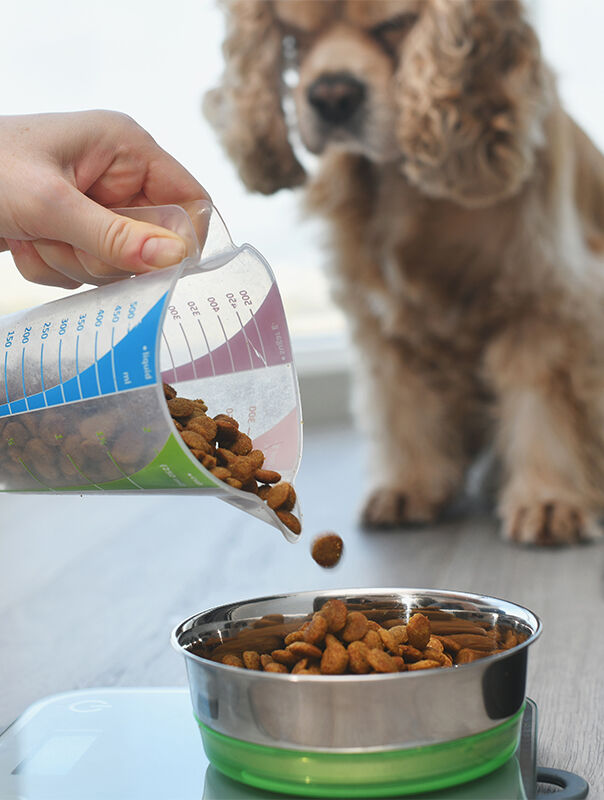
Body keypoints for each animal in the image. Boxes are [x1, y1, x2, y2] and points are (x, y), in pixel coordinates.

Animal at [204, 0, 604, 544]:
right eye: (294, 34)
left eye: (394, 23)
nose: (332, 96)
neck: (404, 184)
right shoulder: (381, 314)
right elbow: (401, 401)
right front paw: (408, 487)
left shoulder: (543, 297)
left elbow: (543, 400)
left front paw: (547, 500)